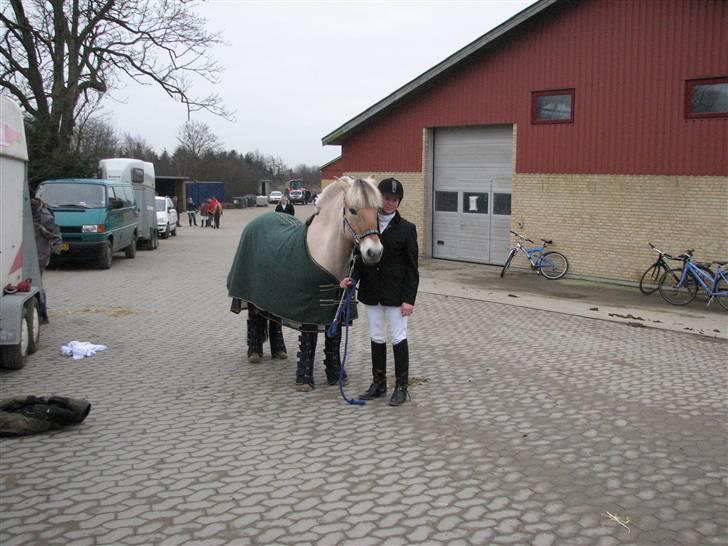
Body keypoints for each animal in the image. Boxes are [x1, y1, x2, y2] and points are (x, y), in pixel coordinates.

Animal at [228, 174, 384, 386]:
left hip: (274, 296)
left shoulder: (336, 308)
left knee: (274, 320)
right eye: (353, 210)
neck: (324, 253)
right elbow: (309, 341)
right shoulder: (311, 310)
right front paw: (304, 379)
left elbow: (334, 339)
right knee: (253, 317)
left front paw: (335, 375)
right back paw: (254, 353)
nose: (374, 252)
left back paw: (279, 351)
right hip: (251, 295)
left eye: (377, 210)